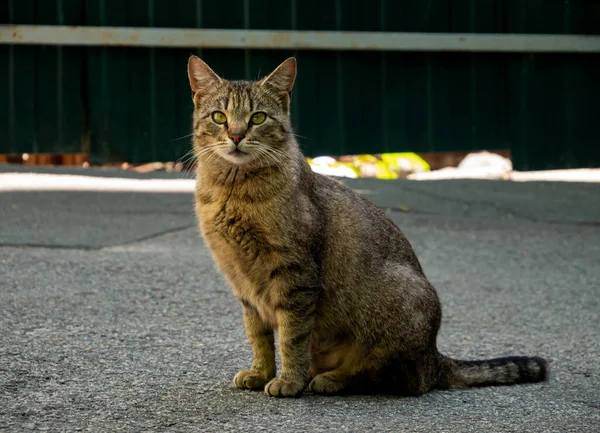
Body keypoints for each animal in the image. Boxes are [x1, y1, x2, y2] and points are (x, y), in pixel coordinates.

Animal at [188, 55, 548, 396]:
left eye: (258, 118)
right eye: (219, 117)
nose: (236, 135)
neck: (232, 191)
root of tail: (435, 357)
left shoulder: (296, 274)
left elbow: (292, 336)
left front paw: (289, 380)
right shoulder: (244, 283)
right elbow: (258, 335)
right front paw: (261, 372)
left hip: (399, 309)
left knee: (392, 378)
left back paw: (331, 379)